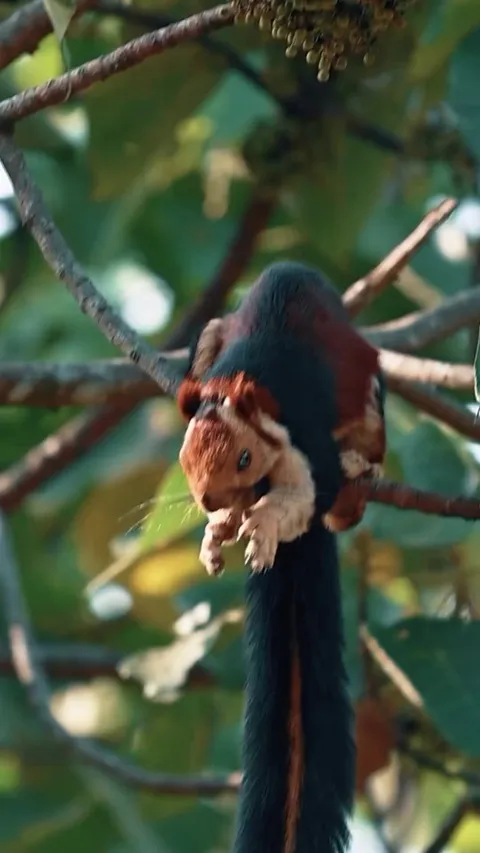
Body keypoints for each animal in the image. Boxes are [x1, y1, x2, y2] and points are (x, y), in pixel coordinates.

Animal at [175, 261, 386, 853]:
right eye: (185, 459)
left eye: (245, 457)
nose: (211, 500)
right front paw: (216, 533)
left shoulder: (304, 437)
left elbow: (305, 496)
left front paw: (264, 526)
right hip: (211, 336)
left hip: (368, 394)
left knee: (353, 479)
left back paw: (359, 476)